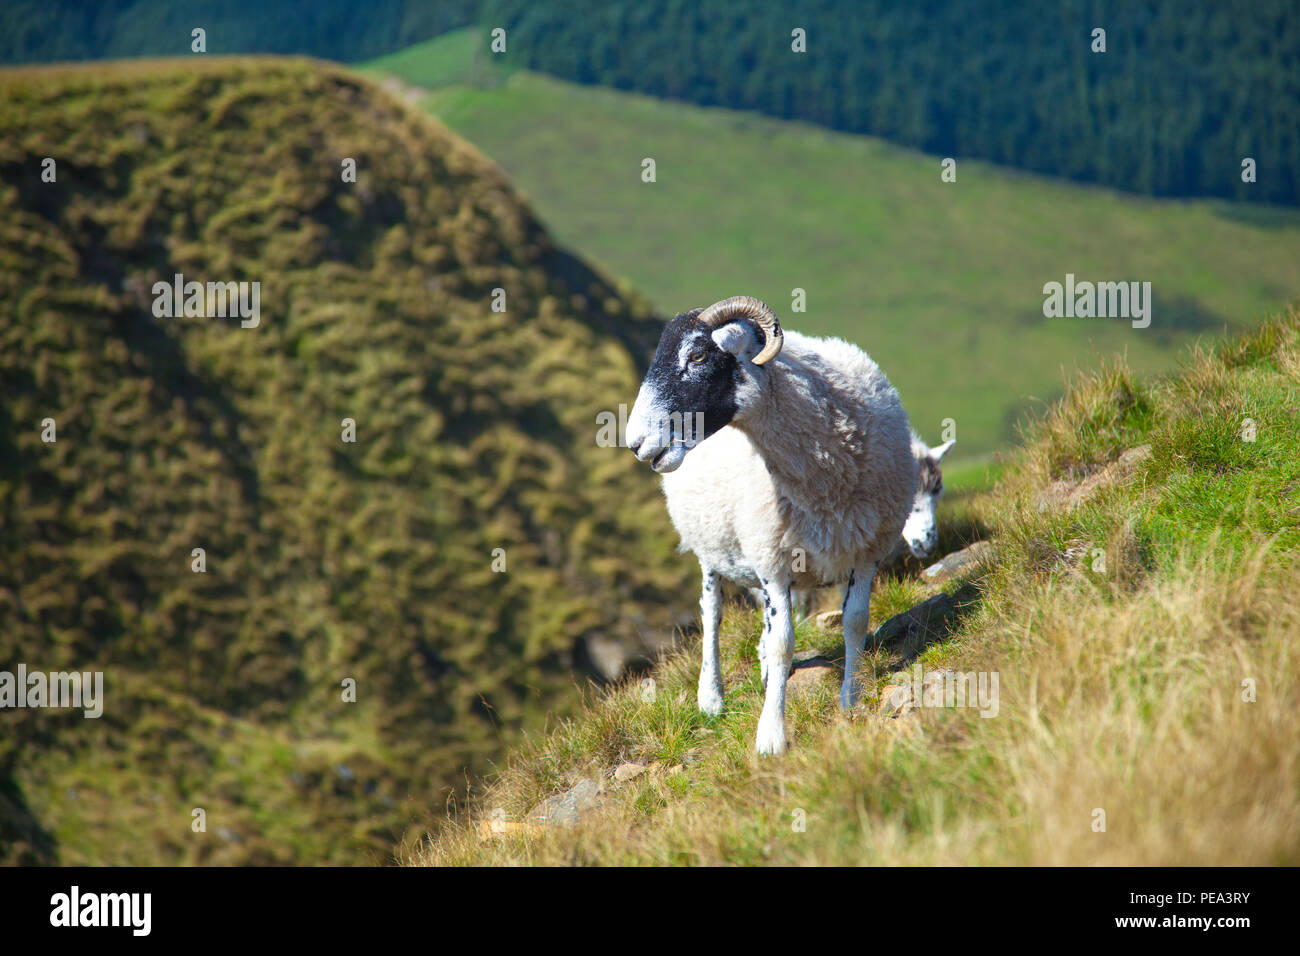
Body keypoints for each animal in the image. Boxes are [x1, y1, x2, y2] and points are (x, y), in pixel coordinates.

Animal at [626, 297, 915, 754]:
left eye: (698, 355)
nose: (635, 442)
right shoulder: (774, 563)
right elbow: (782, 644)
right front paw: (771, 735)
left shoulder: (866, 549)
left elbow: (854, 622)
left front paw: (850, 699)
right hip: (711, 549)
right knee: (712, 613)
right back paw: (711, 697)